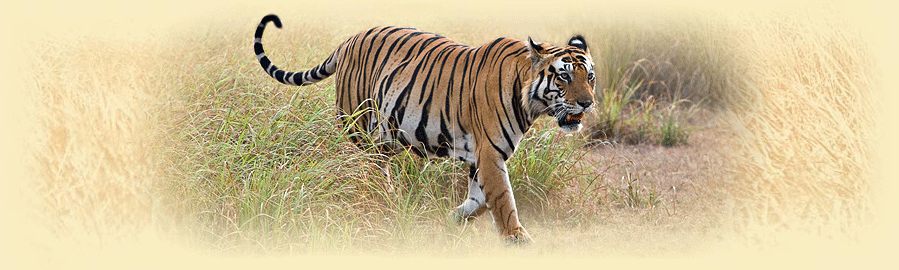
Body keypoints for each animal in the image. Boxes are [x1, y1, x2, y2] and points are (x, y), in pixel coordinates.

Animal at [251, 13, 596, 244]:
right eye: (564, 76)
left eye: (590, 76)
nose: (588, 103)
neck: (528, 100)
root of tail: (348, 40)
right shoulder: (490, 153)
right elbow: (503, 201)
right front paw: (518, 240)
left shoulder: (480, 158)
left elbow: (479, 203)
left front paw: (448, 222)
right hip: (359, 125)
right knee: (360, 165)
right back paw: (374, 194)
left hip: (386, 133)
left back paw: (390, 198)